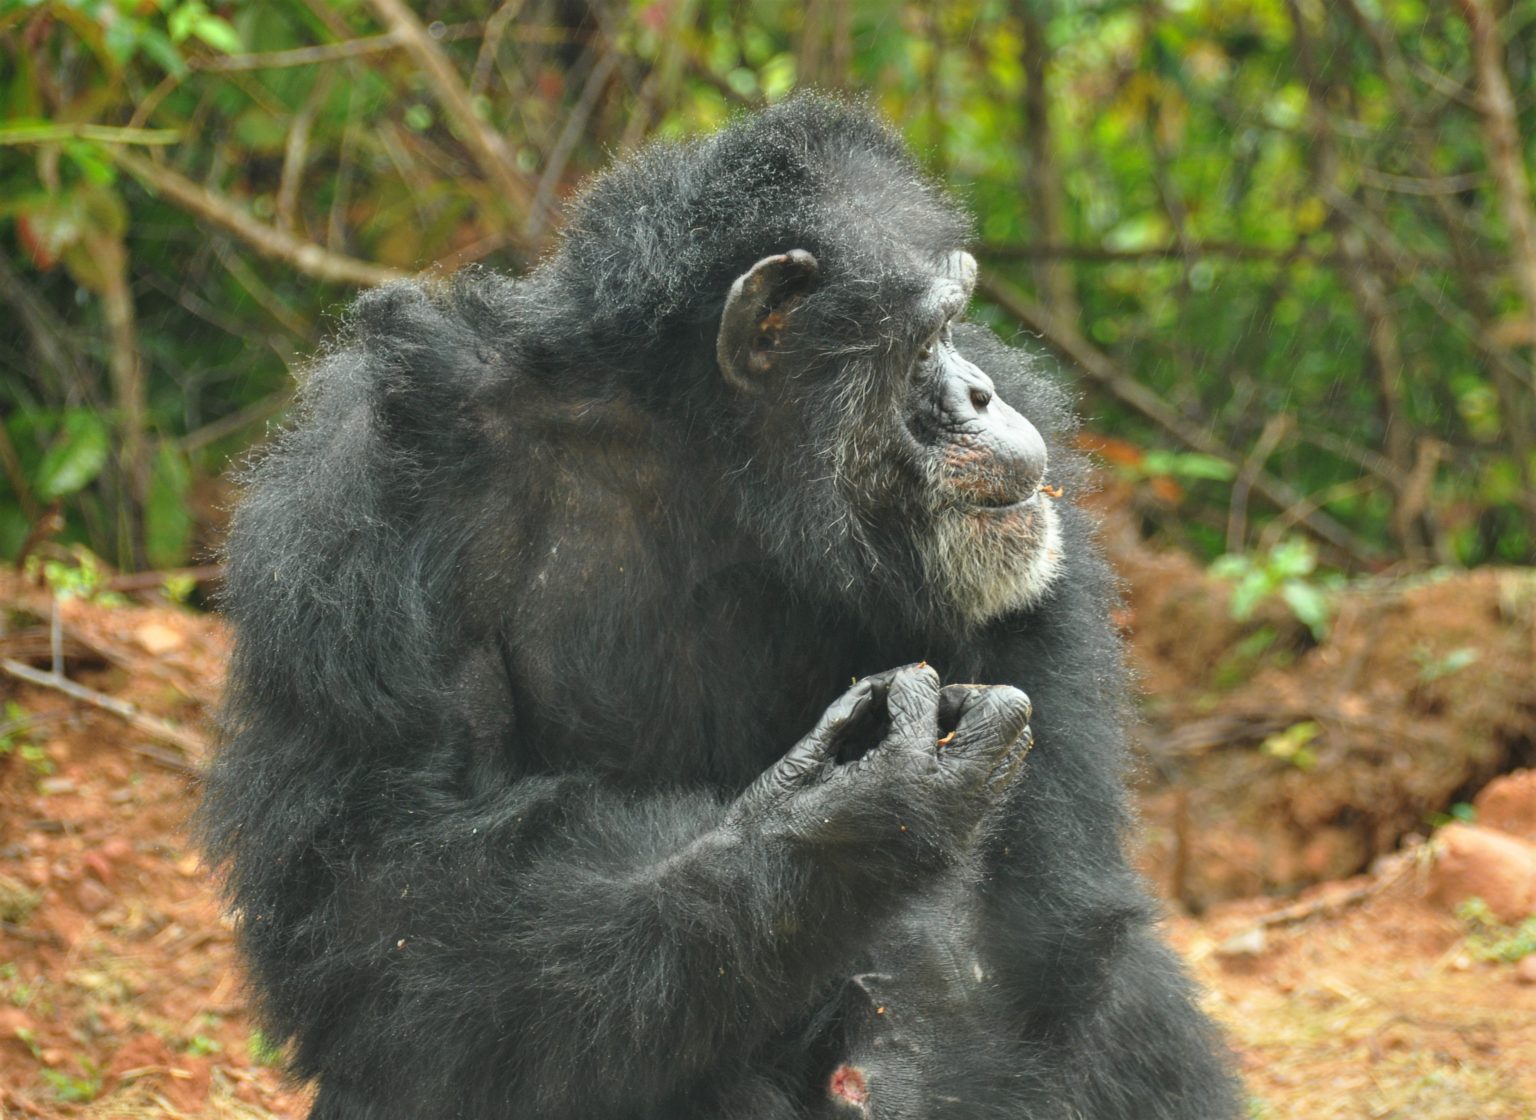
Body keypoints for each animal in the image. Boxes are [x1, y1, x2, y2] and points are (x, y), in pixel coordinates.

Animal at [198, 91, 1241, 1112]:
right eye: (927, 338)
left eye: (960, 325)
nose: (981, 392)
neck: (714, 452)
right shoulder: (371, 506)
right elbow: (384, 897)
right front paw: (842, 821)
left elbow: (1021, 931)